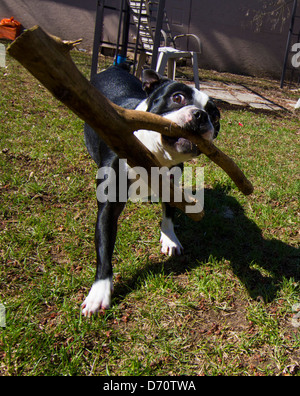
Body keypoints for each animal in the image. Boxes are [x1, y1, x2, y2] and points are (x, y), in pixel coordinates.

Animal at [81, 66, 219, 318]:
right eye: (177, 97)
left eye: (215, 116)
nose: (201, 116)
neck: (152, 154)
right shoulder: (109, 207)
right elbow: (104, 248)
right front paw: (99, 291)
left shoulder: (171, 185)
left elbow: (168, 214)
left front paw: (170, 238)